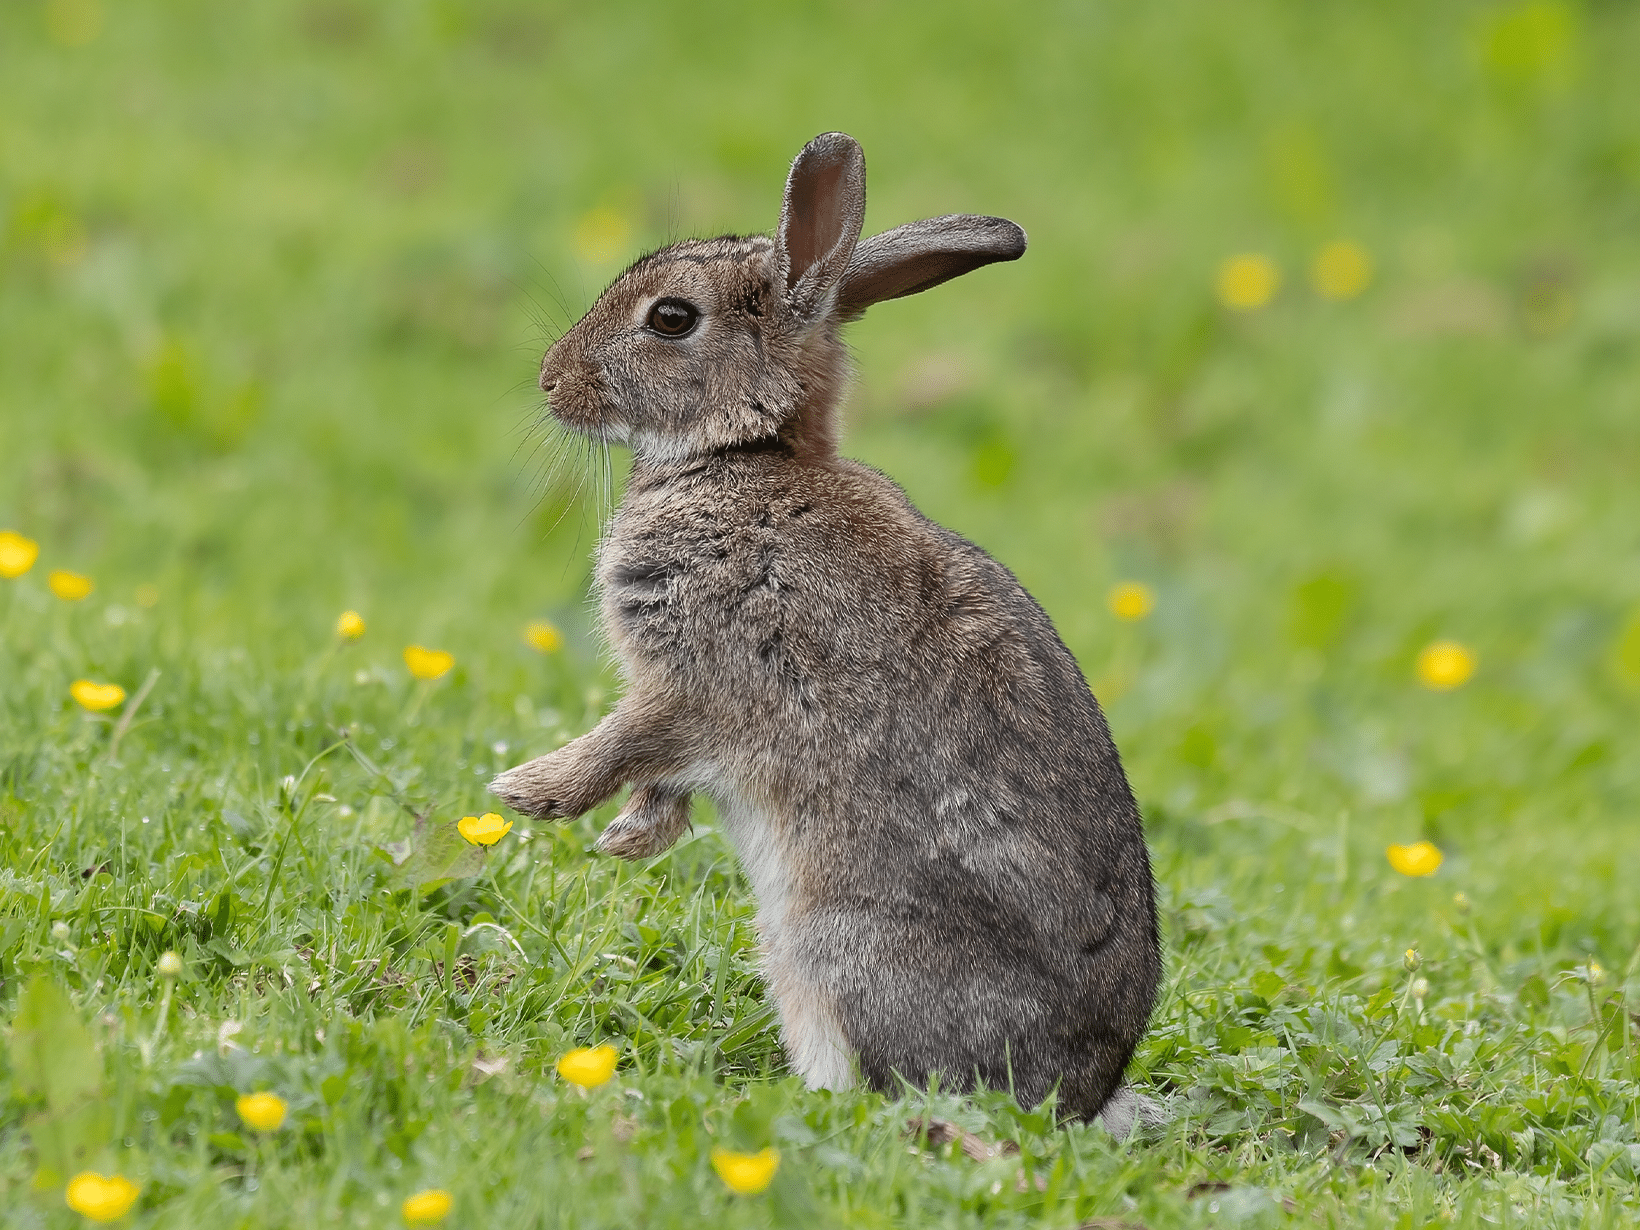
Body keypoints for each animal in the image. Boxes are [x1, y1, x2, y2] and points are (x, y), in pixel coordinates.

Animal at [492, 132, 1161, 1128]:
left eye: (671, 318)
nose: (550, 382)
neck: (748, 457)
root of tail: (1077, 1093)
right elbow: (661, 780)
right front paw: (628, 839)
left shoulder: (700, 679)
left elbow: (624, 743)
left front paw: (529, 794)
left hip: (831, 943)